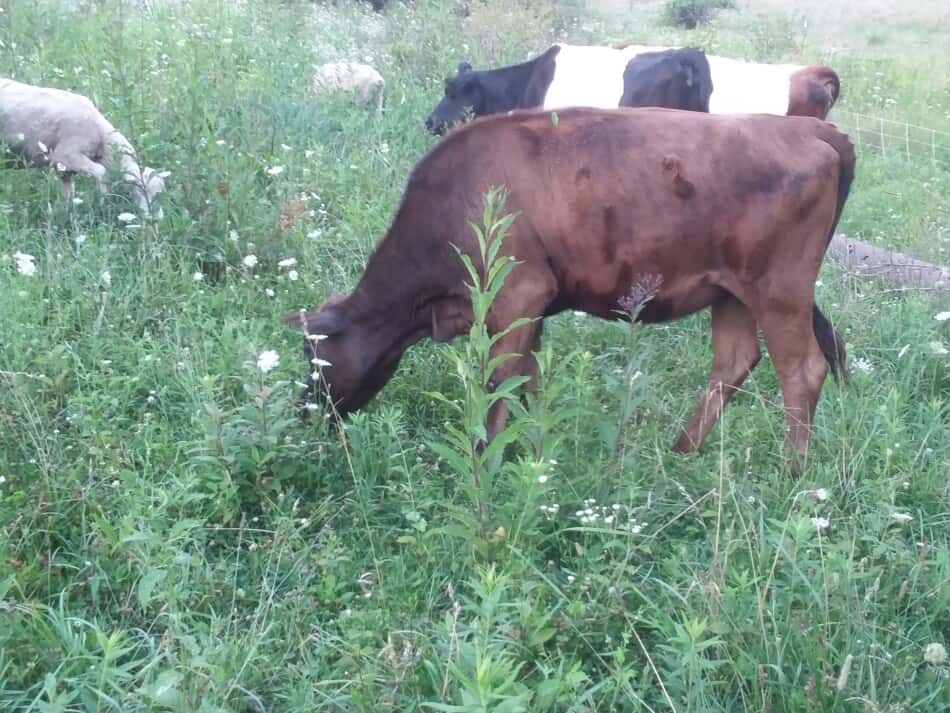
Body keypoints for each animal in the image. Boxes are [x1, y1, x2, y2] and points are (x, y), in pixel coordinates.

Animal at [0, 76, 166, 218]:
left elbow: (68, 193)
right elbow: (101, 172)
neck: (101, 138)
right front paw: (104, 203)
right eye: (141, 190)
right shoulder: (65, 155)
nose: (156, 220)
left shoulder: (64, 169)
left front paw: (67, 213)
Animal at [290, 107, 856, 468]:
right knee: (734, 362)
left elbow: (497, 391)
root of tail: (808, 127)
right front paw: (538, 453)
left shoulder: (519, 294)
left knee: (802, 371)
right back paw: (678, 456)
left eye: (314, 357)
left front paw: (485, 467)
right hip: (732, 292)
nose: (305, 414)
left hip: (778, 289)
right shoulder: (531, 312)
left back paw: (791, 475)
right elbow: (530, 384)